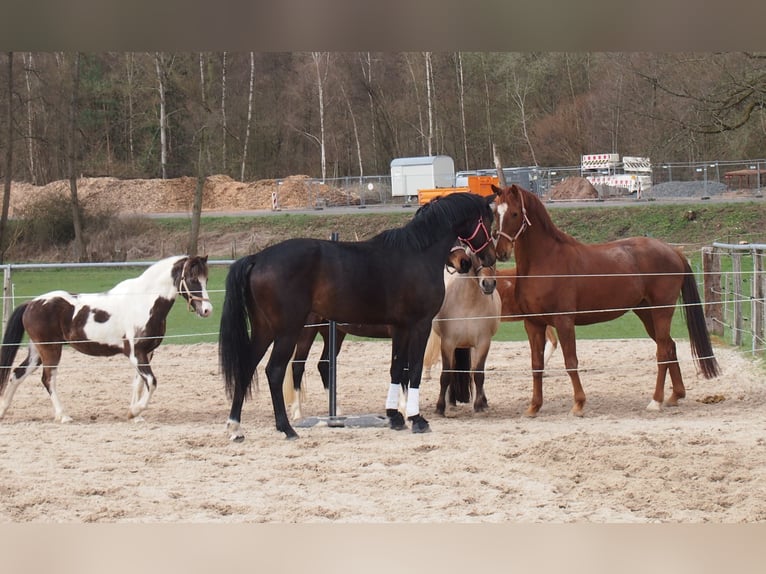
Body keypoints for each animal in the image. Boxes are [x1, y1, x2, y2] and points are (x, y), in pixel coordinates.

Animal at [0, 255, 213, 423]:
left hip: (37, 351)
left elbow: (138, 383)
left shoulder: (147, 353)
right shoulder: (136, 354)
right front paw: (134, 411)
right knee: (48, 379)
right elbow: (152, 382)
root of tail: (31, 303)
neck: (143, 302)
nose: (207, 310)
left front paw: (136, 416)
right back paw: (63, 416)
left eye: (207, 279)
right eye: (192, 278)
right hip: (51, 350)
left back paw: (3, 411)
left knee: (17, 374)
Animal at [284, 242, 473, 420]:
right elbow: (402, 370)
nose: (464, 261)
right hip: (307, 333)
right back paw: (298, 412)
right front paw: (404, 408)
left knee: (323, 365)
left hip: (334, 334)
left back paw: (336, 410)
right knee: (297, 366)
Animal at [491, 183, 720, 417]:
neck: (544, 262)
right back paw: (675, 396)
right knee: (670, 346)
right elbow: (536, 364)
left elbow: (570, 361)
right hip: (646, 313)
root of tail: (673, 250)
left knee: (663, 351)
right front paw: (533, 407)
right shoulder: (533, 323)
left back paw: (656, 401)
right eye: (495, 212)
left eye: (514, 213)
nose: (500, 252)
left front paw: (579, 404)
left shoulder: (564, 321)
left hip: (661, 311)